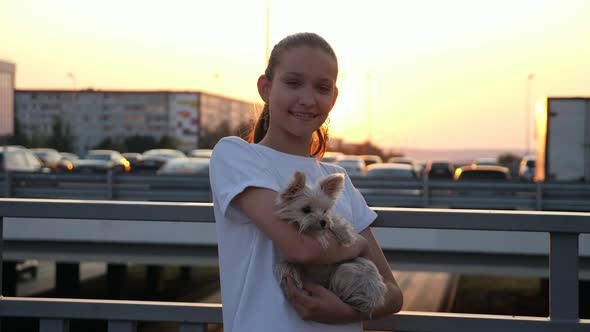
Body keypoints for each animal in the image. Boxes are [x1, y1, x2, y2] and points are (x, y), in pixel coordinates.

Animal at [274, 171, 388, 314]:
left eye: (324, 210)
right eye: (306, 209)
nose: (323, 221)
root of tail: (369, 302)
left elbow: (335, 220)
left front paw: (345, 235)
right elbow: (287, 265)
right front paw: (294, 277)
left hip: (347, 268)